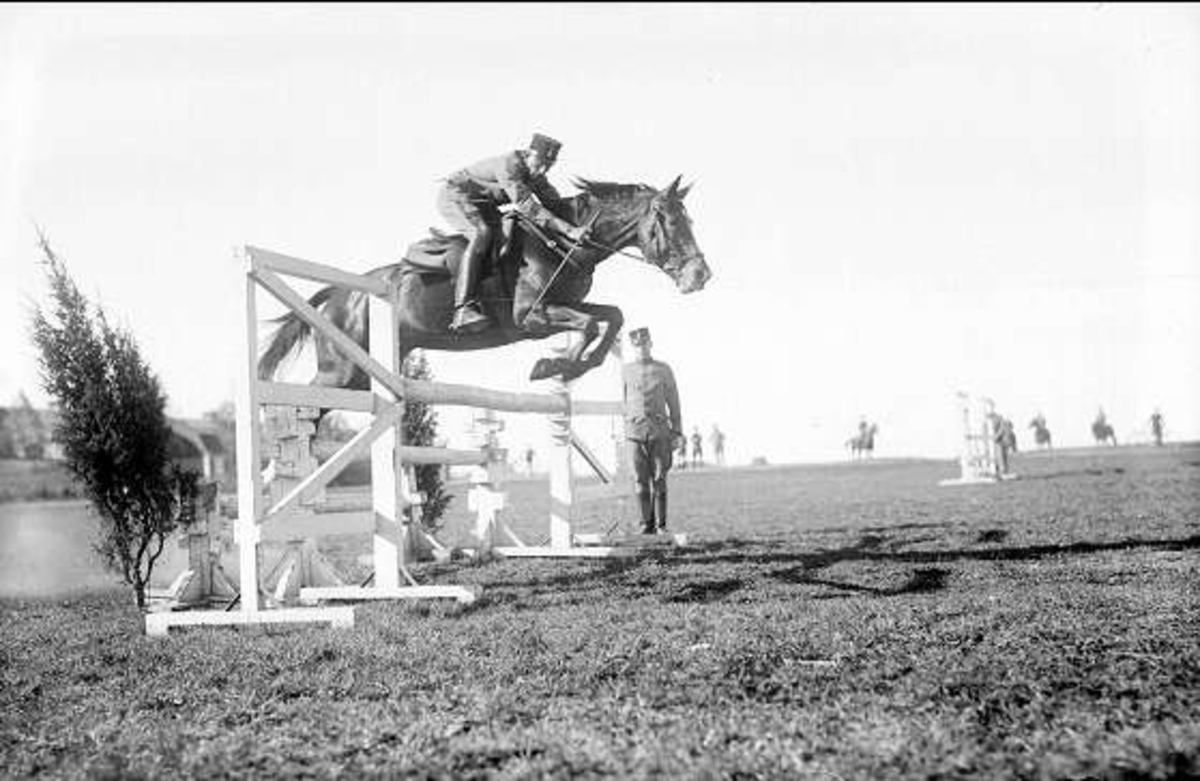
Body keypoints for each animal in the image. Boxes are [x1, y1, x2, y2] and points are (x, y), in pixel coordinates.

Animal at [258, 177, 710, 392]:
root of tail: (339, 294)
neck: (560, 241)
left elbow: (611, 317)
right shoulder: (531, 317)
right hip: (343, 370)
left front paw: (573, 367)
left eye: (690, 220)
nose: (701, 276)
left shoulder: (560, 307)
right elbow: (588, 325)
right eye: (671, 222)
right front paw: (553, 366)